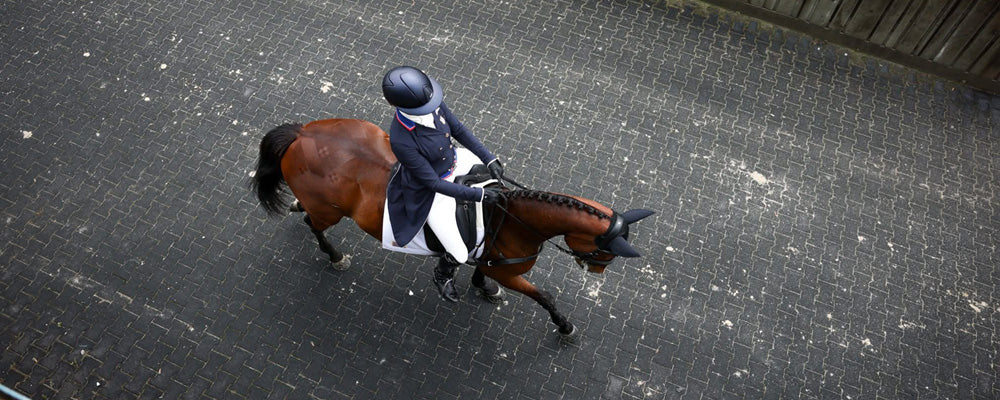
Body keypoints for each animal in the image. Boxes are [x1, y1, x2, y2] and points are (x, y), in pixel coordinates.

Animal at [250, 118, 653, 336]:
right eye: (604, 251)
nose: (597, 270)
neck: (513, 219)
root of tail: (302, 134)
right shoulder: (509, 271)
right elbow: (544, 296)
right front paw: (564, 327)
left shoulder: (489, 256)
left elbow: (482, 271)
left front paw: (483, 287)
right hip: (329, 212)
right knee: (314, 224)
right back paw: (333, 256)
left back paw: (300, 205)